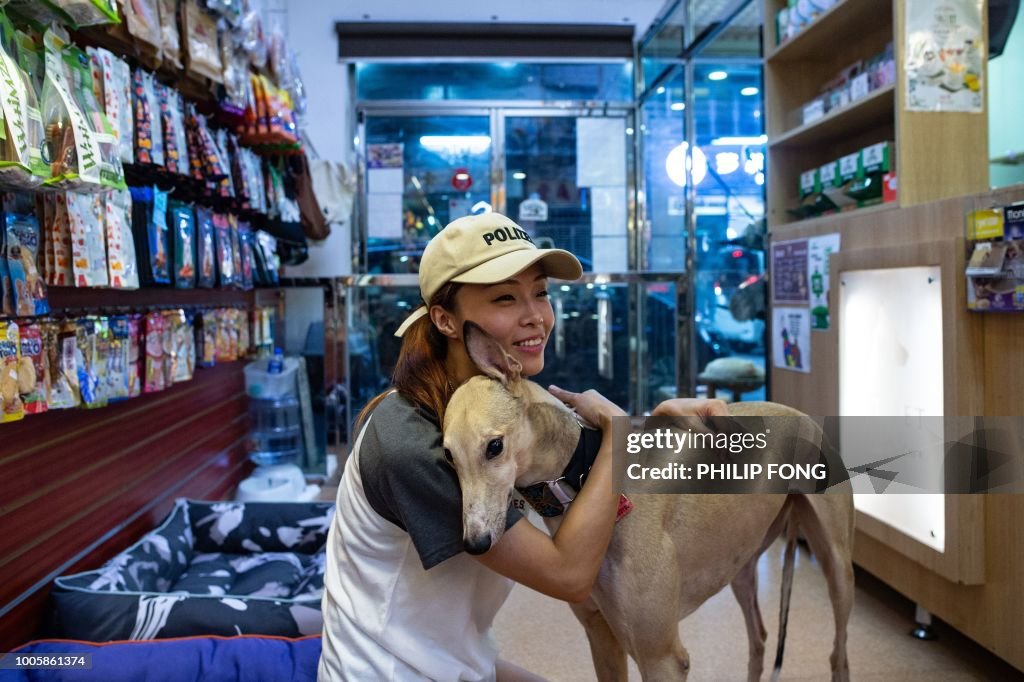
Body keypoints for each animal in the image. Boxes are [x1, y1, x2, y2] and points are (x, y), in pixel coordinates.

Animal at [448, 325, 856, 679]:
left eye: (494, 446)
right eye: (449, 457)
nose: (475, 543)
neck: (587, 475)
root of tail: (800, 414)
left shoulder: (662, 657)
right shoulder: (601, 637)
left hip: (837, 566)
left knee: (839, 653)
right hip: (741, 564)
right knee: (759, 638)